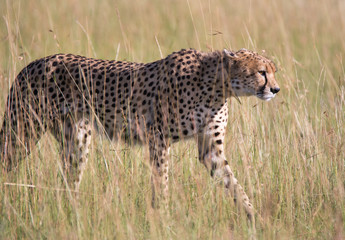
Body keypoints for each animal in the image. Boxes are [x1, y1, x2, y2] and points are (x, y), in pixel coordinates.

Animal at [0, 47, 280, 222]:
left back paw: (74, 214)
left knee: (69, 182)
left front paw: (255, 218)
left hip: (77, 139)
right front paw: (162, 216)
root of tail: (33, 63)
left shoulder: (210, 149)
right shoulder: (158, 137)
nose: (276, 89)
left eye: (273, 71)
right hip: (22, 132)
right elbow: (161, 180)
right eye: (261, 72)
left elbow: (233, 182)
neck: (216, 85)